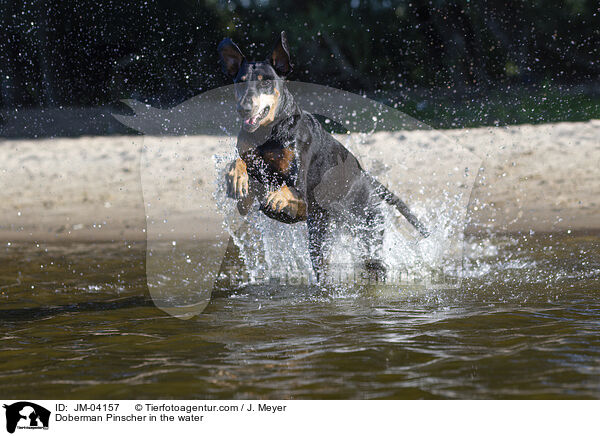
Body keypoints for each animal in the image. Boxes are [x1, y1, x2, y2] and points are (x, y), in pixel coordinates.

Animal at [218, 32, 428, 282]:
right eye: (240, 81)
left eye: (265, 82)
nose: (244, 108)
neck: (268, 133)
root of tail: (366, 177)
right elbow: (238, 165)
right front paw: (236, 179)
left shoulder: (301, 187)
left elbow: (287, 191)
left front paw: (275, 197)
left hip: (366, 226)